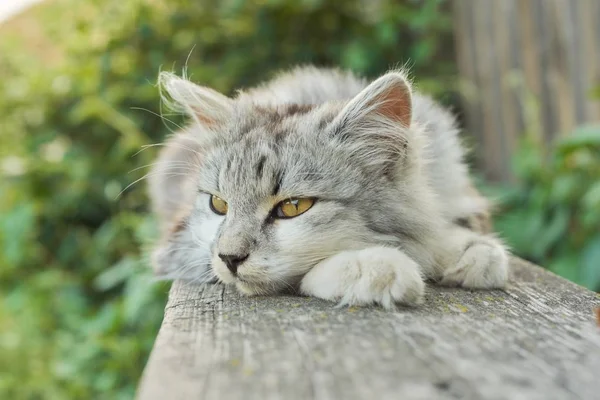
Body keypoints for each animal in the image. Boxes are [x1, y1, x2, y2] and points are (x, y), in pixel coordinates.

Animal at [148, 66, 508, 310]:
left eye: (293, 207)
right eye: (219, 205)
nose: (229, 258)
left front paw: (466, 250)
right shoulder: (180, 246)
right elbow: (304, 274)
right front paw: (373, 266)